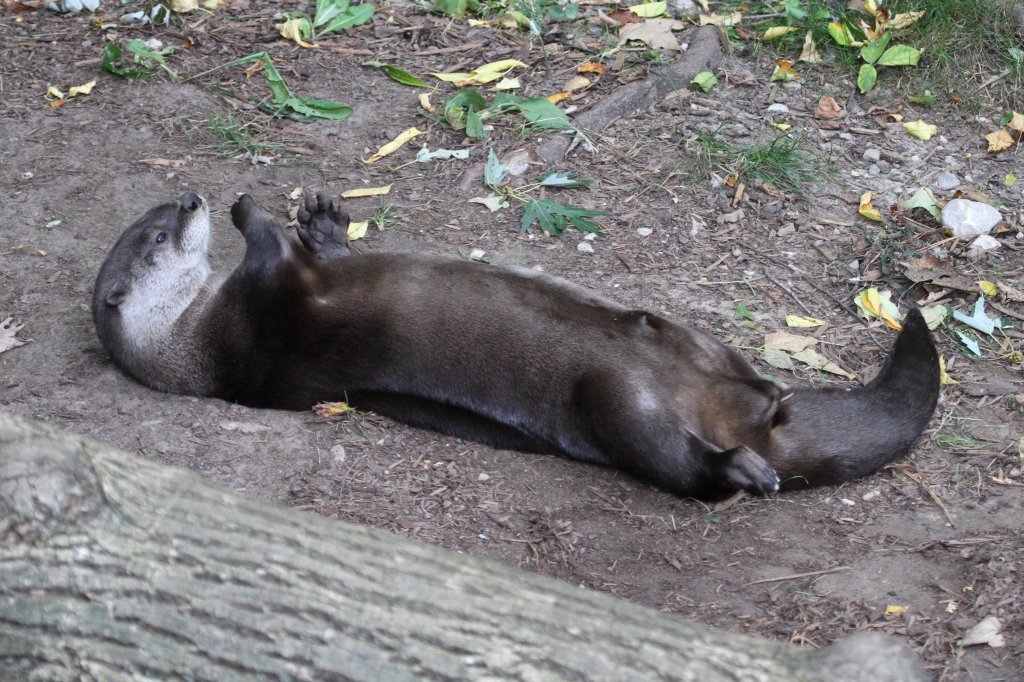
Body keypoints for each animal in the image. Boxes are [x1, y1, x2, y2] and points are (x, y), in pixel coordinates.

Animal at [92, 191, 937, 499]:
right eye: (160, 234)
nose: (192, 197)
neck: (204, 337)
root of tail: (755, 421)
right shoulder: (266, 310)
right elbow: (273, 253)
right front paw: (251, 208)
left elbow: (320, 252)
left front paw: (325, 216)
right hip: (617, 404)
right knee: (684, 466)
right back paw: (742, 471)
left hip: (694, 339)